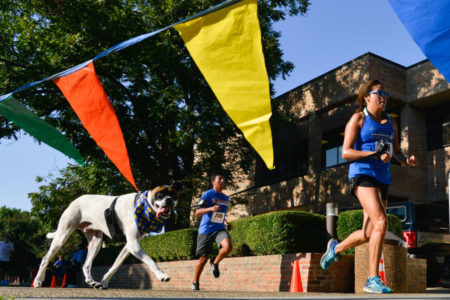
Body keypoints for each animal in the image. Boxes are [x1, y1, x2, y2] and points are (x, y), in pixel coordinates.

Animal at [33, 183, 179, 288]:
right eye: (160, 194)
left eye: (173, 195)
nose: (169, 200)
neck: (144, 207)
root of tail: (74, 201)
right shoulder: (133, 244)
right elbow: (150, 260)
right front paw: (161, 275)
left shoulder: (129, 246)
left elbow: (115, 265)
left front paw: (104, 281)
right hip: (62, 236)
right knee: (45, 259)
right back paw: (38, 281)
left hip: (96, 243)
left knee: (86, 265)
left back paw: (91, 282)